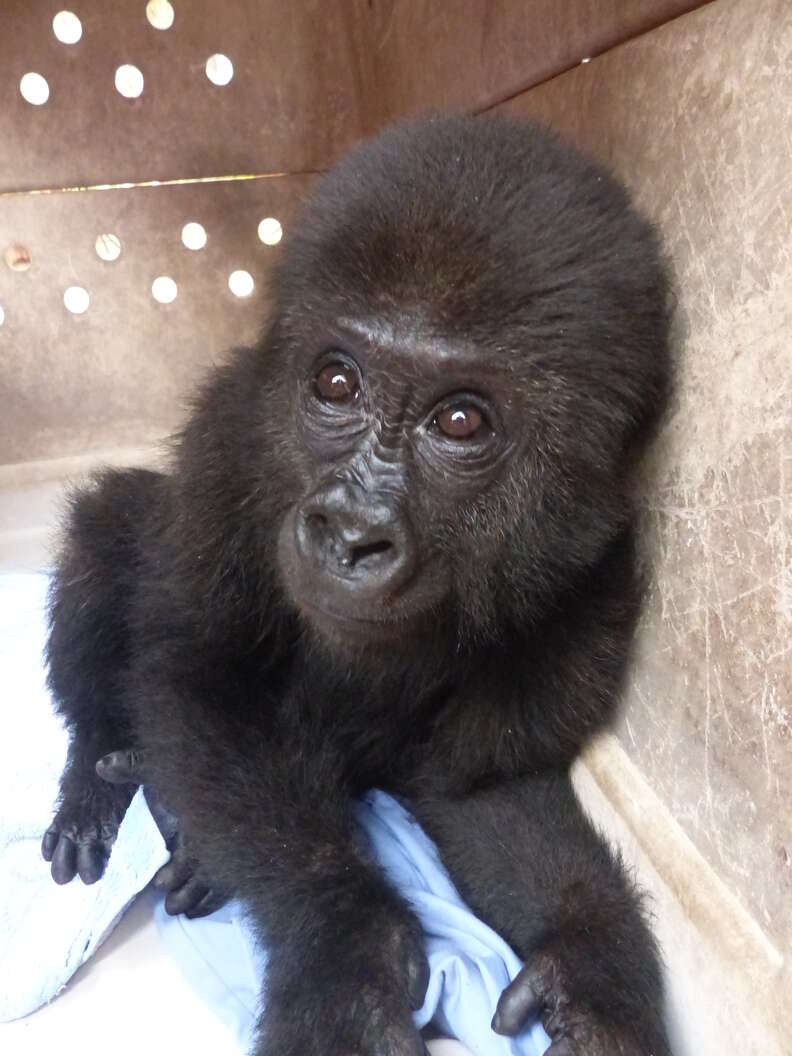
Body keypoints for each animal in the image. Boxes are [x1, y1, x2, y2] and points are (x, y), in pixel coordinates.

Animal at [43, 114, 673, 1056]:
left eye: (461, 420)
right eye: (337, 382)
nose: (348, 532)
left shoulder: (591, 583)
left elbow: (476, 790)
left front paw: (594, 967)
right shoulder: (229, 441)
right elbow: (200, 683)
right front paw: (347, 948)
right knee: (107, 531)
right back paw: (100, 775)